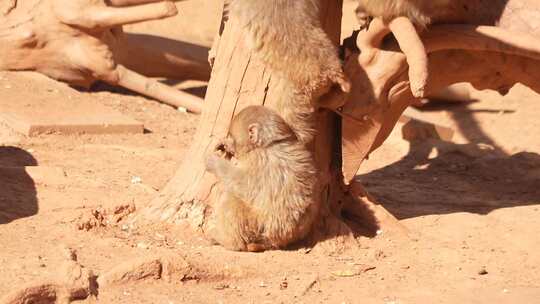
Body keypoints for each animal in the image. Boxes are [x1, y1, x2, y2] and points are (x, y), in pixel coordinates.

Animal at [205, 105, 318, 253]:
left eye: (233, 139)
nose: (229, 144)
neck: (268, 144)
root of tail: (275, 240)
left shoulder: (256, 159)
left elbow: (244, 185)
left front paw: (214, 163)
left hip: (256, 224)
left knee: (229, 198)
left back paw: (228, 241)